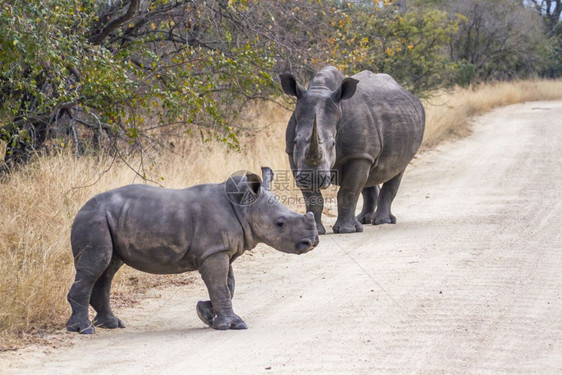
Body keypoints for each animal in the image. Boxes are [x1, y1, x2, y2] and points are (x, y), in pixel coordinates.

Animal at [66, 167, 316, 334]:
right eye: (280, 224)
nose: (312, 242)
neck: (244, 208)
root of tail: (80, 209)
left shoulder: (220, 249)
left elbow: (227, 285)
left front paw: (206, 313)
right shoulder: (214, 251)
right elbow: (220, 285)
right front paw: (233, 325)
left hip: (107, 219)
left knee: (108, 268)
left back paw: (111, 324)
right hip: (93, 219)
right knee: (96, 265)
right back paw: (83, 329)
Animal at [278, 66, 422, 234]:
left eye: (333, 143)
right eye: (296, 142)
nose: (313, 178)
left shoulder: (357, 155)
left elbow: (348, 192)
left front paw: (347, 230)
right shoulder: (292, 155)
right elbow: (312, 197)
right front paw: (316, 231)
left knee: (396, 169)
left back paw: (382, 221)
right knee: (370, 176)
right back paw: (365, 220)